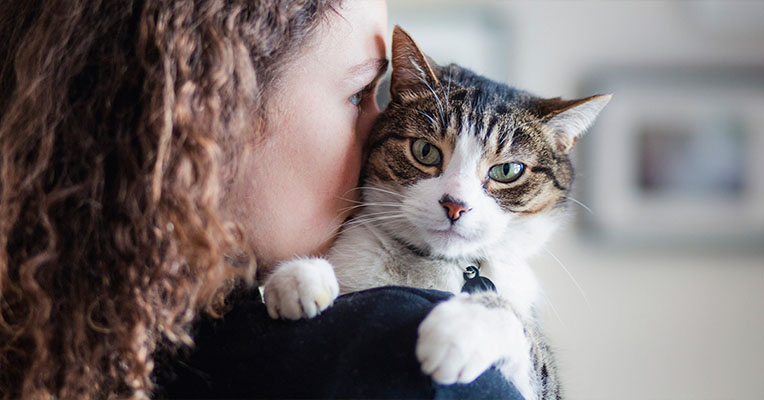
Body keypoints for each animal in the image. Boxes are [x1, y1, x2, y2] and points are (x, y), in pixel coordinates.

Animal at [262, 25, 608, 400]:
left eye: (507, 170)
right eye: (425, 151)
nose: (455, 204)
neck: (436, 265)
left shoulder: (542, 381)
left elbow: (522, 332)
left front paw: (460, 330)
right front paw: (300, 278)